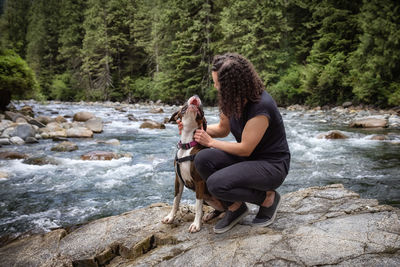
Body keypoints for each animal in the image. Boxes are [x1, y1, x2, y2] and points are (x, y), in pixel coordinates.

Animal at [162, 96, 212, 232]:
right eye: (183, 106)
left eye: (202, 110)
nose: (196, 96)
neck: (187, 145)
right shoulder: (178, 179)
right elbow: (176, 200)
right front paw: (170, 217)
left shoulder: (199, 182)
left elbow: (198, 205)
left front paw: (196, 224)